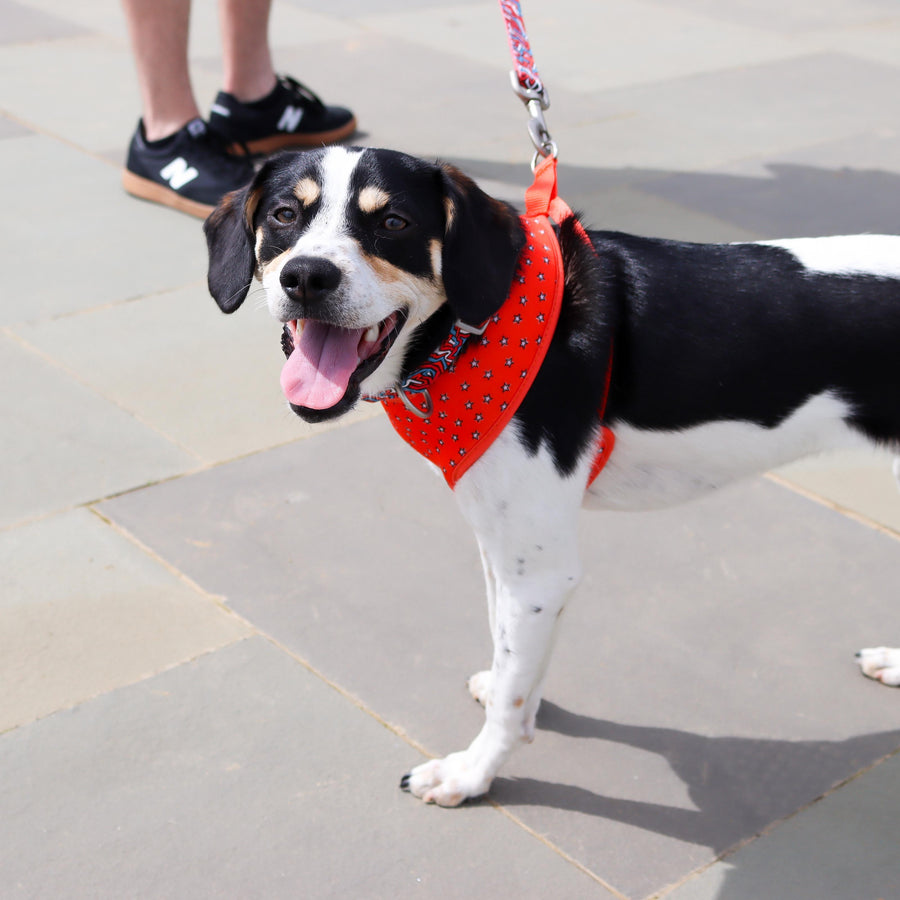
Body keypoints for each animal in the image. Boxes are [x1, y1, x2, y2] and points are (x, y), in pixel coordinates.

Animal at [204, 148, 900, 808]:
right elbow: (510, 652)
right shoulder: (504, 547)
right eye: (284, 216)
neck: (474, 335)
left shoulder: (540, 567)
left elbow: (512, 695)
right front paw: (509, 694)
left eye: (394, 223)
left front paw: (473, 774)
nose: (305, 276)